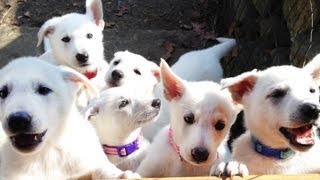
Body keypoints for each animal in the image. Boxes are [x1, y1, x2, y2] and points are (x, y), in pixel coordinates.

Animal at [0, 57, 139, 179]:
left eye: (44, 89)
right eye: (2, 93)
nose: (17, 121)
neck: (47, 153)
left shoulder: (89, 161)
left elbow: (101, 168)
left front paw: (120, 175)